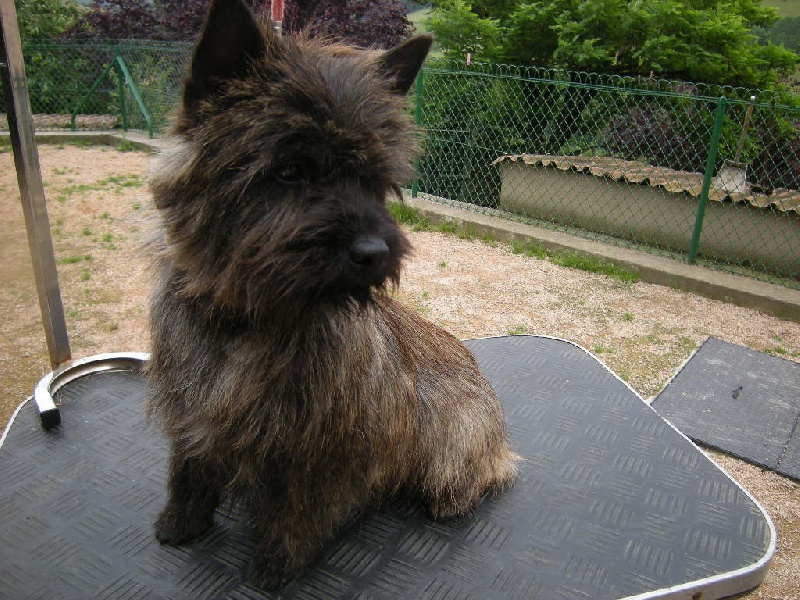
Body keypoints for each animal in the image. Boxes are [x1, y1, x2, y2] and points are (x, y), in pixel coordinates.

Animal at [146, 0, 519, 588]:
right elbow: (188, 470)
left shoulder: (324, 451)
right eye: (288, 170)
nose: (373, 251)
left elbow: (299, 510)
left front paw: (274, 567)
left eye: (374, 181)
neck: (248, 325)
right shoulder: (189, 412)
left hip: (452, 443)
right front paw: (180, 524)